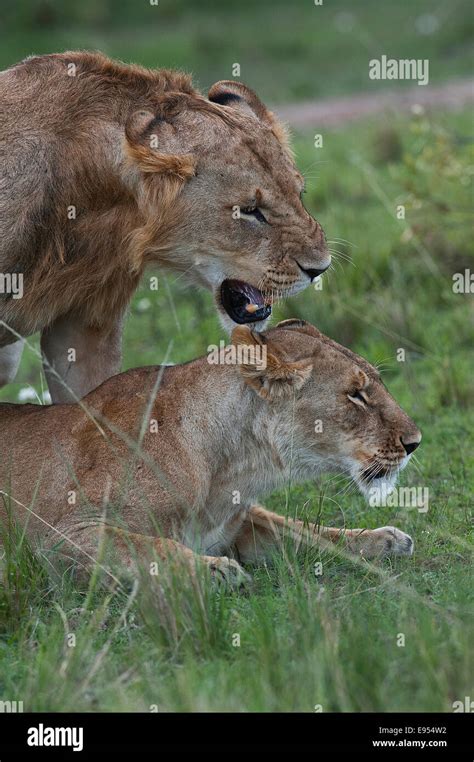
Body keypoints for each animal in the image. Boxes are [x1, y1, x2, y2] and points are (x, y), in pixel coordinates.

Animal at [0, 318, 422, 584]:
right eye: (356, 395)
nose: (414, 442)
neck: (236, 470)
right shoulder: (61, 537)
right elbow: (149, 546)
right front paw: (214, 570)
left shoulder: (239, 523)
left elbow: (307, 531)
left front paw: (382, 539)